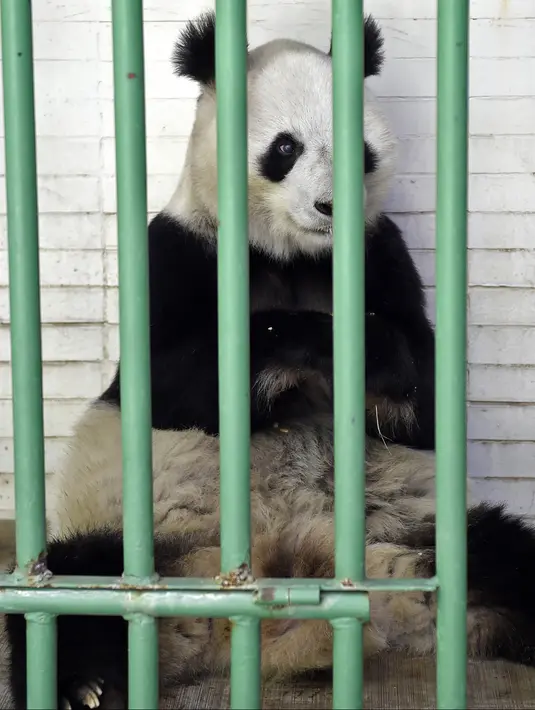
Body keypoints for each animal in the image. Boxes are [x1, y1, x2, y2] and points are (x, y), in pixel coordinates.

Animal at [5, 11, 535, 710]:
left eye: (357, 148)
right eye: (285, 148)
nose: (330, 207)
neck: (293, 254)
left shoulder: (380, 249)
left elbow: (428, 403)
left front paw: (376, 356)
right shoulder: (178, 247)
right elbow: (165, 384)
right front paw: (327, 345)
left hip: (412, 530)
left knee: (505, 557)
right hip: (140, 542)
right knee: (76, 585)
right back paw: (86, 684)